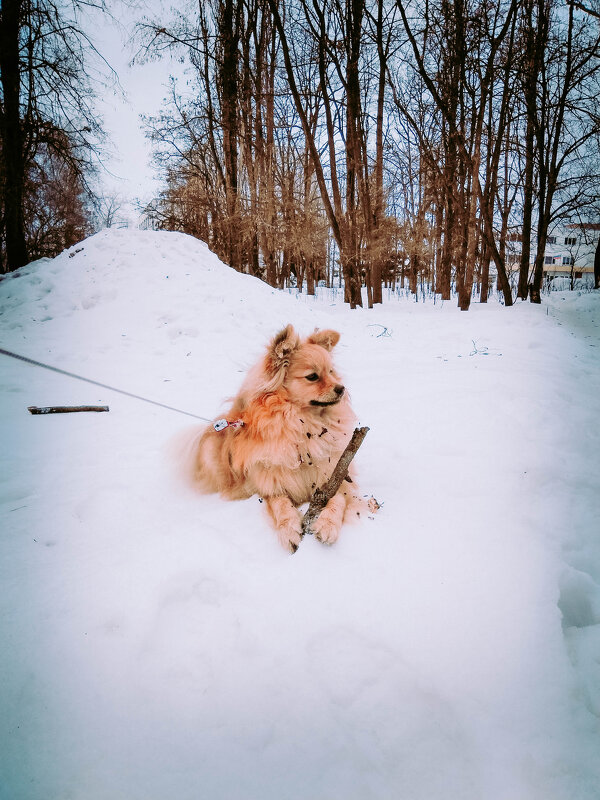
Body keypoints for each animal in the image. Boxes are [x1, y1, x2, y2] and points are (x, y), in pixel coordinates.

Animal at [188, 324, 364, 552]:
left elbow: (337, 501)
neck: (303, 426)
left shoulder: (336, 476)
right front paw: (289, 530)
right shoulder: (269, 483)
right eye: (313, 377)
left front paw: (327, 525)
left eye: (331, 372)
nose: (341, 389)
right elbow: (280, 504)